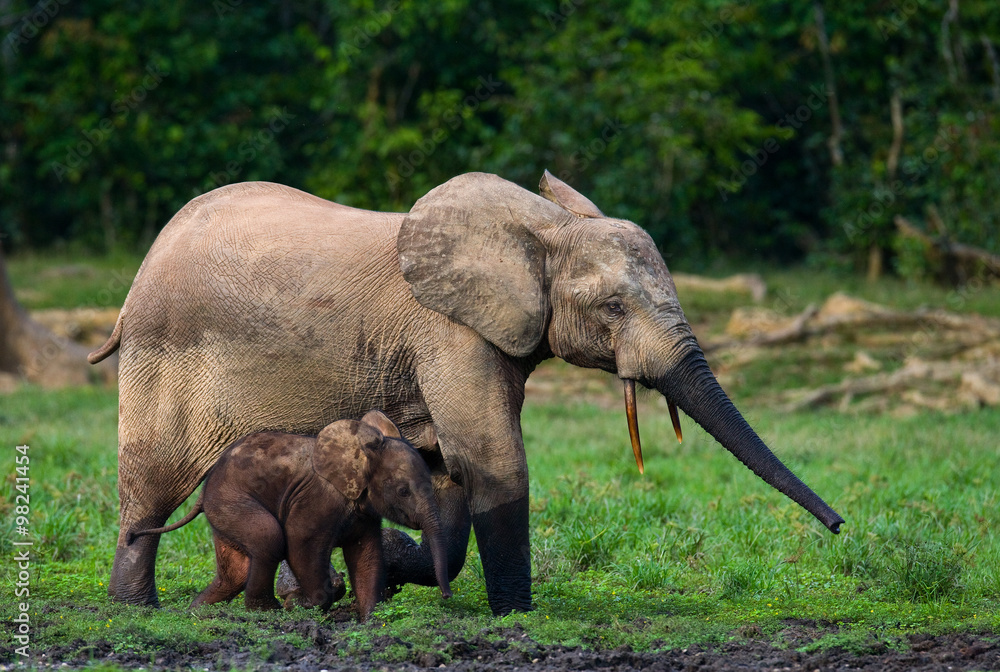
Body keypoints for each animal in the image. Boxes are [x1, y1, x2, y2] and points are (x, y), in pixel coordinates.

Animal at [128, 410, 452, 620]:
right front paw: (302, 605)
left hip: (223, 510)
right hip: (231, 500)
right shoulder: (318, 499)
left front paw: (369, 617)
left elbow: (367, 554)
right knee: (268, 538)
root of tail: (205, 489)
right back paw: (266, 611)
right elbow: (301, 543)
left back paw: (198, 612)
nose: (447, 597)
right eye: (403, 491)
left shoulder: (363, 509)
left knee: (235, 571)